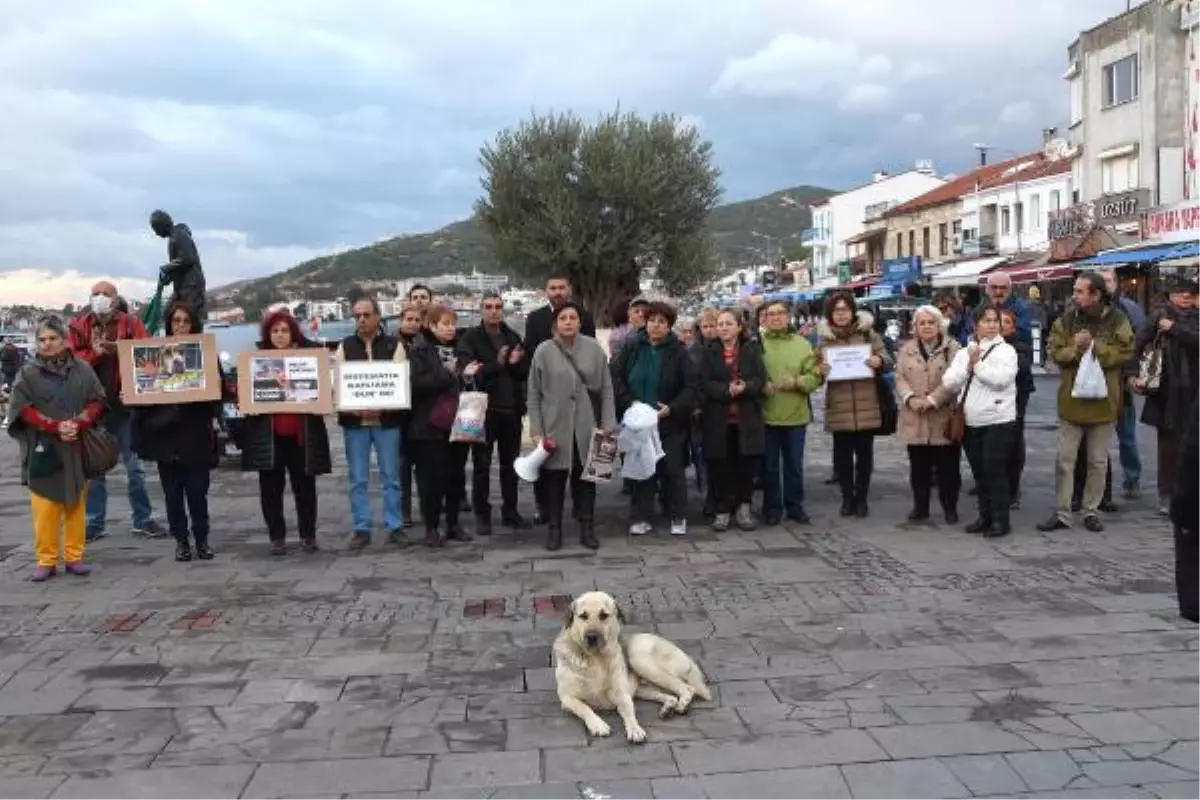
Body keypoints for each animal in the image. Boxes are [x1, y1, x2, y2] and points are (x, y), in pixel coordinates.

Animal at [552, 587, 710, 743]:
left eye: (603, 615)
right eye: (583, 616)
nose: (591, 637)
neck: (596, 659)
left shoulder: (622, 694)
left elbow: (628, 710)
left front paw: (635, 729)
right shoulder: (567, 698)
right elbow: (584, 707)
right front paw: (598, 725)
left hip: (639, 660)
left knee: (687, 687)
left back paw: (682, 704)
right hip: (642, 688)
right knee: (671, 696)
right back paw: (668, 708)